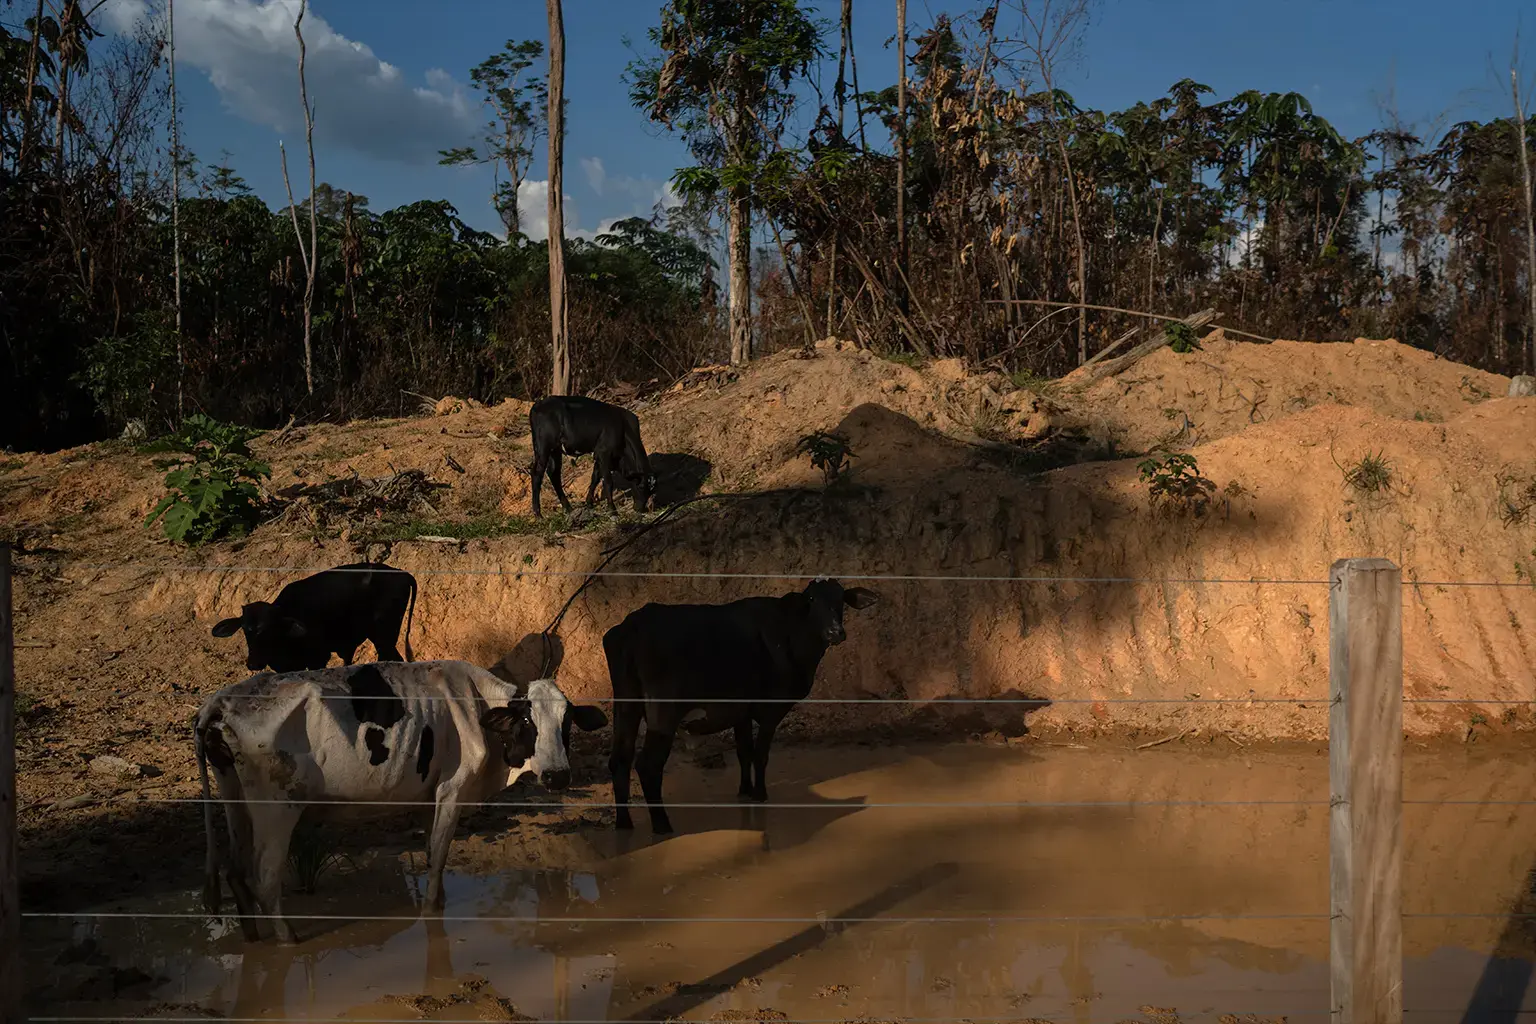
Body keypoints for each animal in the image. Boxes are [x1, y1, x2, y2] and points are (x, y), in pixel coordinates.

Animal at [190, 660, 599, 939]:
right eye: (528, 722)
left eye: (567, 722)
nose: (558, 775)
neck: (477, 705)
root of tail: (220, 700)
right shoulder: (451, 791)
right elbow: (438, 858)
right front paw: (433, 912)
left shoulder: (428, 798)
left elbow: (432, 853)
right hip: (276, 810)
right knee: (263, 877)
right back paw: (286, 940)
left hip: (234, 795)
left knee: (235, 871)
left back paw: (253, 938)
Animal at [210, 561, 417, 672]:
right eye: (245, 629)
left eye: (269, 628)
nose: (253, 663)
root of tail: (402, 572)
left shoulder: (318, 658)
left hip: (384, 635)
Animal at [605, 577, 884, 835]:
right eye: (812, 600)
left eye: (840, 600)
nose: (836, 632)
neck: (791, 635)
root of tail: (633, 624)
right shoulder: (772, 709)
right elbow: (760, 754)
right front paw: (760, 794)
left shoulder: (741, 712)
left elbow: (744, 751)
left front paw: (745, 790)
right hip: (663, 714)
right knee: (647, 765)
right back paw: (662, 825)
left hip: (626, 707)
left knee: (620, 759)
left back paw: (624, 822)